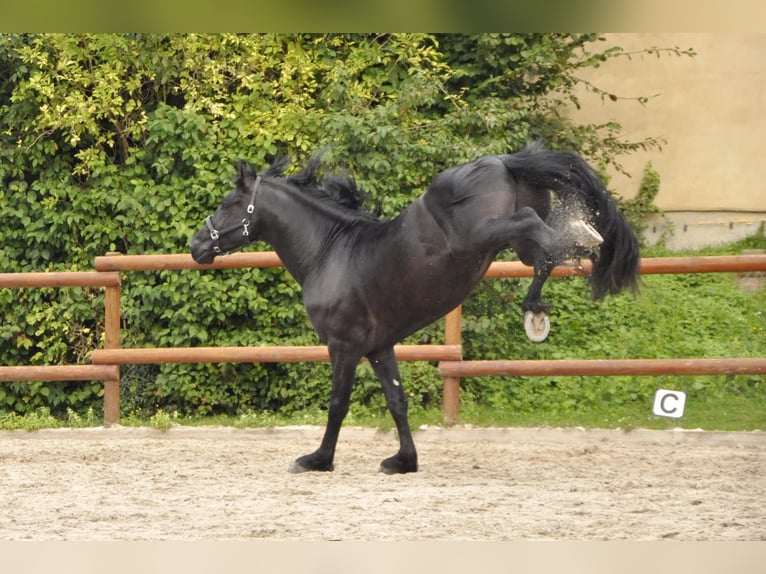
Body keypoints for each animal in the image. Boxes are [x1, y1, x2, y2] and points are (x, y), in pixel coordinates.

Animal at [192, 145, 640, 476]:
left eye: (229, 202)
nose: (196, 245)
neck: (329, 252)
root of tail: (500, 160)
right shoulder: (379, 348)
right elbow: (397, 401)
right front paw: (403, 461)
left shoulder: (344, 346)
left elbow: (338, 403)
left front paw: (317, 460)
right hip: (508, 243)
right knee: (541, 254)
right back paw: (537, 305)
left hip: (484, 233)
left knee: (536, 228)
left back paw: (580, 238)